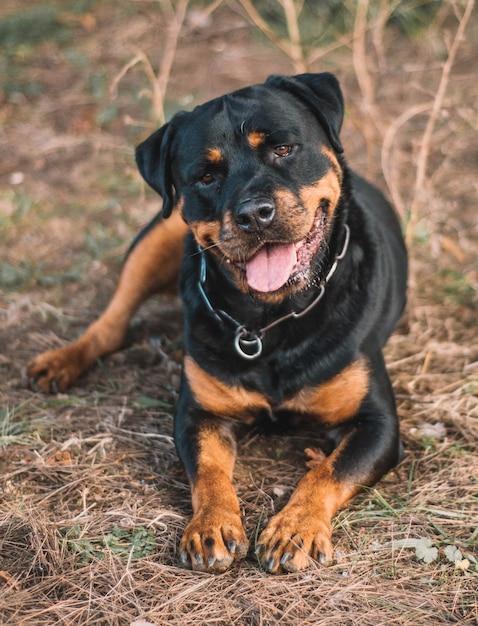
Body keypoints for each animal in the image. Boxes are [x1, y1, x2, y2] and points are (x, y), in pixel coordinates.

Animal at [27, 73, 408, 572]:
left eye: (283, 149)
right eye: (206, 176)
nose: (254, 213)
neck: (271, 319)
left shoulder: (377, 423)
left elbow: (327, 470)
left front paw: (295, 529)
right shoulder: (198, 412)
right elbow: (207, 470)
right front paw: (211, 526)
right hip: (159, 235)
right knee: (111, 323)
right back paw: (61, 361)